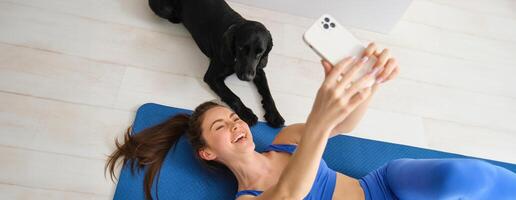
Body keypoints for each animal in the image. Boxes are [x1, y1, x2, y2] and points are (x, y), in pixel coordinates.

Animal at [149, 0, 286, 128]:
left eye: (260, 52)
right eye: (241, 47)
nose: (247, 77)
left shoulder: (258, 70)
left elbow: (268, 93)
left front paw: (275, 115)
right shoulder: (212, 77)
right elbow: (232, 96)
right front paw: (247, 114)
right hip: (165, 9)